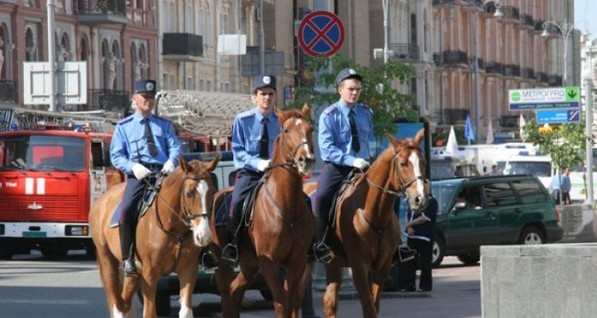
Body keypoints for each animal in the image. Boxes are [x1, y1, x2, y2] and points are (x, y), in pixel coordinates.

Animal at [88, 157, 219, 318]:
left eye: (213, 192)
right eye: (189, 193)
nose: (204, 235)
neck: (173, 228)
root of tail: (102, 199)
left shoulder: (188, 270)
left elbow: (186, 311)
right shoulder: (150, 274)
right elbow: (150, 313)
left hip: (134, 273)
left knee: (124, 303)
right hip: (108, 261)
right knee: (117, 304)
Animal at [212, 105, 318, 318]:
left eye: (310, 129)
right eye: (286, 131)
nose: (306, 160)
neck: (286, 206)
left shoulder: (297, 260)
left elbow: (293, 302)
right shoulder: (269, 262)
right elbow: (281, 303)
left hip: (249, 263)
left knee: (234, 291)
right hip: (226, 261)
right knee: (226, 291)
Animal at [302, 128, 428, 316]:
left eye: (423, 162)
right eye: (403, 163)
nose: (420, 198)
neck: (373, 213)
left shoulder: (382, 266)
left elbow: (373, 306)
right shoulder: (359, 266)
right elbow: (368, 308)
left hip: (333, 263)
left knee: (329, 301)